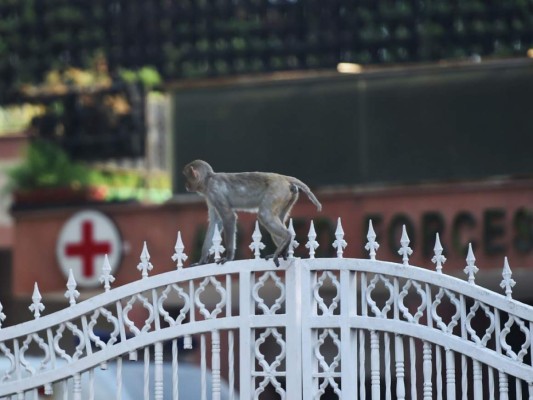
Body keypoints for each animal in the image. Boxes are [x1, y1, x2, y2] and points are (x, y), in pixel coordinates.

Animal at [185, 159, 322, 266]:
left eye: (186, 177)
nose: (185, 185)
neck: (208, 180)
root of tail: (283, 178)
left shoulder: (214, 191)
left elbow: (229, 217)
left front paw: (228, 257)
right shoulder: (210, 196)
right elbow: (215, 222)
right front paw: (202, 260)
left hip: (277, 191)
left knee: (264, 215)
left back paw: (287, 237)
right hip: (288, 196)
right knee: (278, 217)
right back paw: (283, 250)